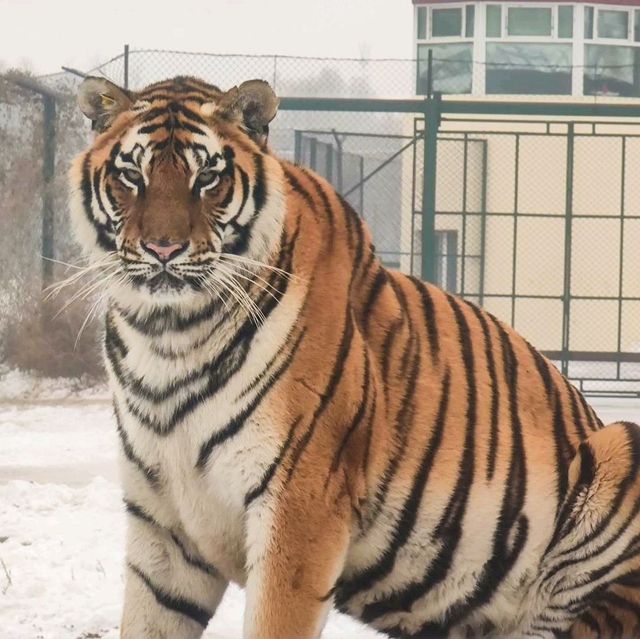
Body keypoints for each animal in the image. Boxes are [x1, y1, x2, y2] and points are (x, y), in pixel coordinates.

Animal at [66, 76, 640, 639]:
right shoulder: (162, 520)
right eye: (131, 175)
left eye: (207, 177)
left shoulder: (299, 506)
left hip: (620, 447)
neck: (167, 337)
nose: (163, 249)